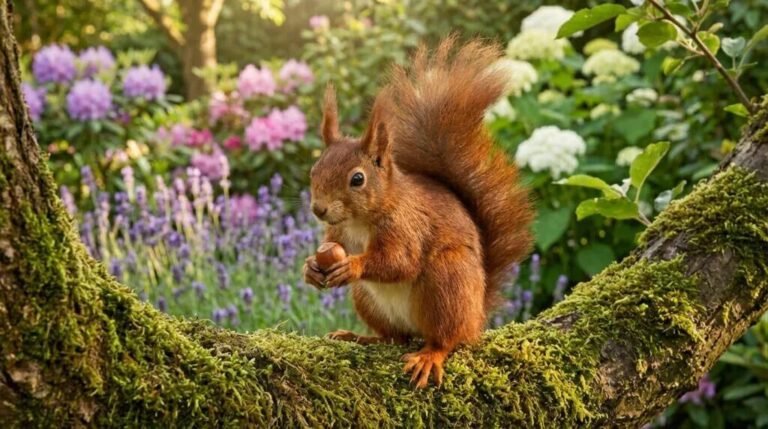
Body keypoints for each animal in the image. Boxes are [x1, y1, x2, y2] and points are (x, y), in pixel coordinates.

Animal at [303, 36, 534, 388]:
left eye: (357, 179)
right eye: (314, 170)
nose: (319, 209)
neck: (359, 222)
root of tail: (477, 316)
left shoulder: (406, 227)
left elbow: (399, 261)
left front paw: (354, 265)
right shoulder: (337, 232)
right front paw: (310, 268)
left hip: (447, 283)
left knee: (446, 339)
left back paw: (430, 355)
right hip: (368, 300)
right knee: (394, 337)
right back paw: (360, 338)